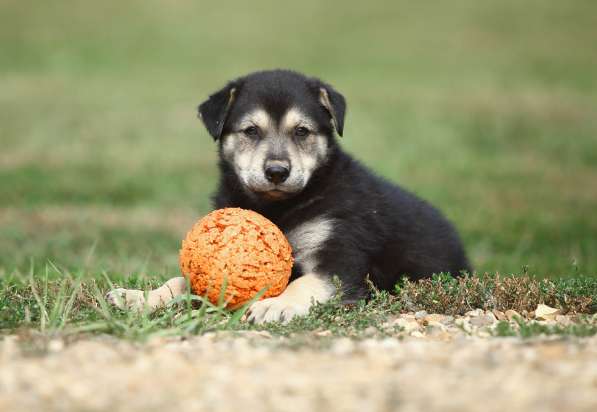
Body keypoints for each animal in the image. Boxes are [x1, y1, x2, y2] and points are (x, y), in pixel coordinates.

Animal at [106, 69, 470, 324]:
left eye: (302, 131)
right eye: (251, 131)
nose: (277, 171)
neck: (279, 208)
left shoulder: (340, 258)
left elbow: (305, 283)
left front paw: (276, 306)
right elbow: (179, 281)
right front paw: (137, 298)